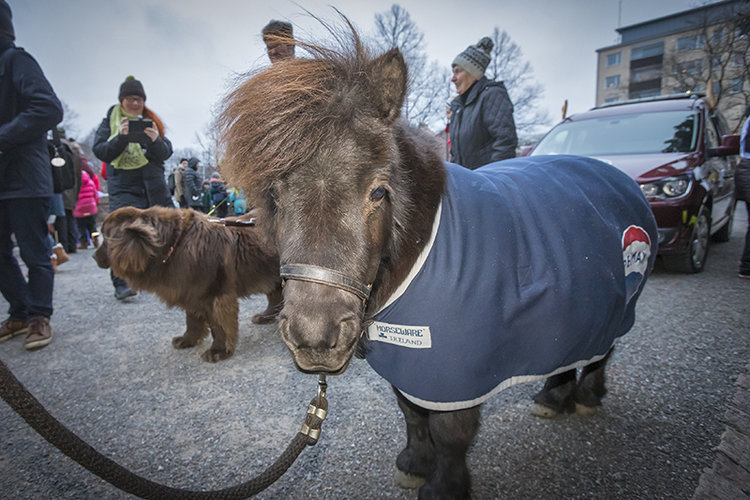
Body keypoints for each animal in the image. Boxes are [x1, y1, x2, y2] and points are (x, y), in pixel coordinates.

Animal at [94, 205, 282, 362]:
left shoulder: (215, 296)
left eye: (106, 239)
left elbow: (218, 326)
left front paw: (218, 351)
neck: (174, 245)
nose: (94, 257)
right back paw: (266, 317)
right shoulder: (190, 291)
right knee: (275, 296)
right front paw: (187, 340)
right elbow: (191, 320)